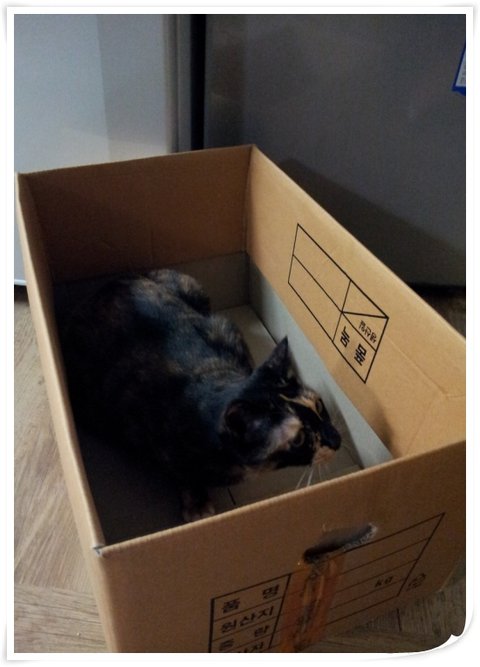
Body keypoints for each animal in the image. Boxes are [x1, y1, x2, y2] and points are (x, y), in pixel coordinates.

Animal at [59, 269, 341, 522]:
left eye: (318, 405)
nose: (336, 439)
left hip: (191, 285)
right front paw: (196, 504)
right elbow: (181, 473)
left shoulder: (226, 330)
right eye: (299, 439)